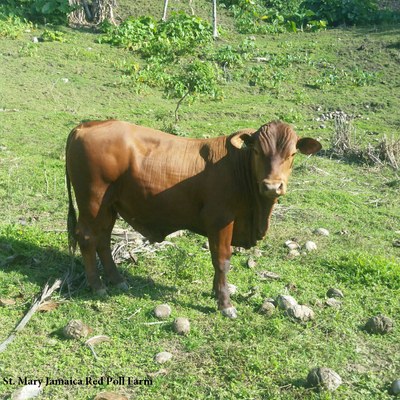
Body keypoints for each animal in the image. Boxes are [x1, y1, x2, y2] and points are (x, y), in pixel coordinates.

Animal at [66, 119, 322, 318]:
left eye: (292, 154)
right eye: (258, 151)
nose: (272, 186)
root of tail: (85, 126)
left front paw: (216, 292)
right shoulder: (220, 220)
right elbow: (221, 260)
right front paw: (225, 304)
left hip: (108, 206)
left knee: (103, 239)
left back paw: (117, 280)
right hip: (92, 202)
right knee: (87, 238)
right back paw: (98, 286)